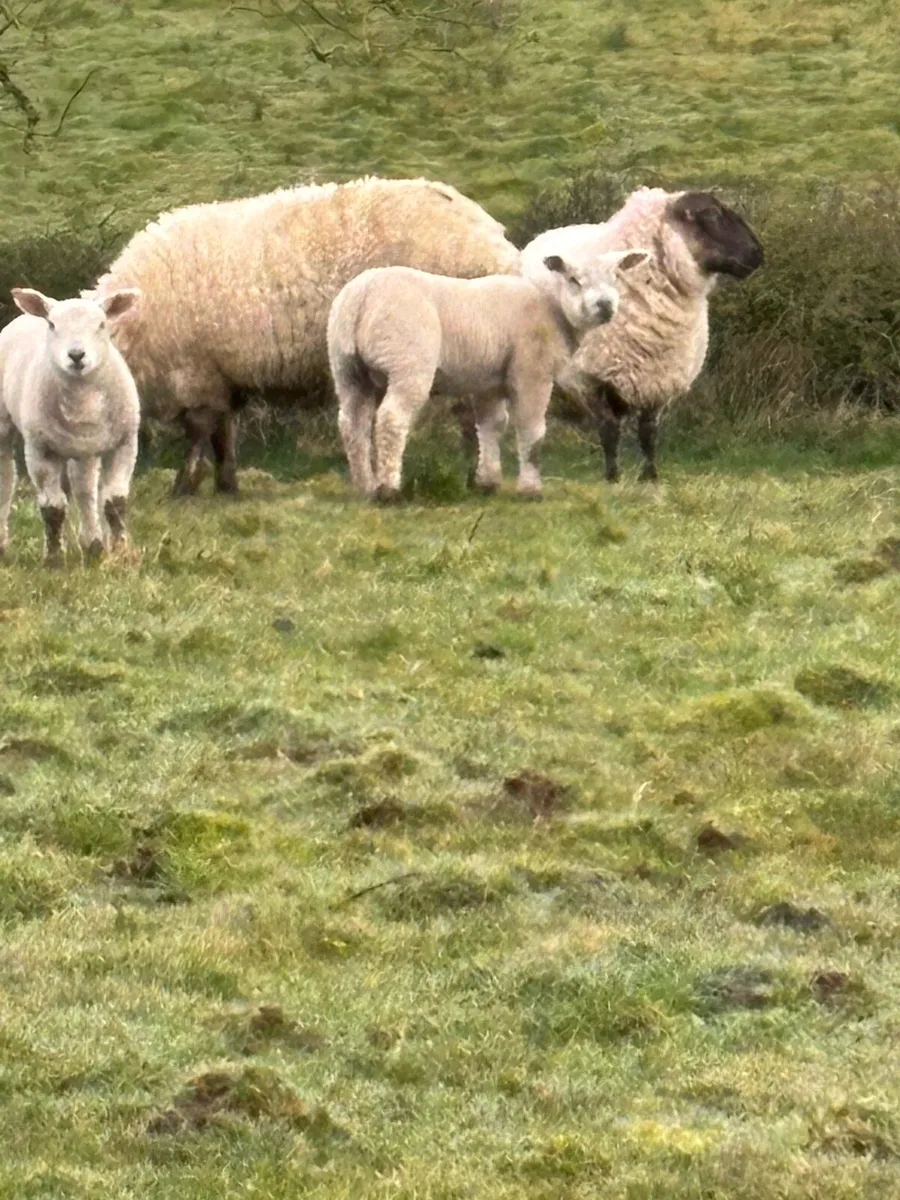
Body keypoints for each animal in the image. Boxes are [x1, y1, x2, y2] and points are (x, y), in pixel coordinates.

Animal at [0, 287, 141, 566]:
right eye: (53, 325)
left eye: (101, 324)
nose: (76, 355)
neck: (84, 401)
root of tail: (25, 317)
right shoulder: (40, 449)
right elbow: (52, 509)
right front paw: (54, 559)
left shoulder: (125, 443)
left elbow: (115, 502)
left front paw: (121, 553)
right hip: (4, 425)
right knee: (5, 481)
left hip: (83, 448)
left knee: (84, 489)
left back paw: (93, 544)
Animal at [88, 176, 521, 498]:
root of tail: (497, 241)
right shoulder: (221, 376)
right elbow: (223, 436)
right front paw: (227, 486)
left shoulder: (196, 375)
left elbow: (198, 435)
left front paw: (184, 487)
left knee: (472, 416)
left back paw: (474, 476)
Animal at [328, 250, 649, 501]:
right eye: (573, 279)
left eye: (616, 277)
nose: (605, 305)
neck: (554, 310)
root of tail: (362, 296)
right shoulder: (532, 371)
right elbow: (531, 430)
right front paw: (530, 488)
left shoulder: (488, 381)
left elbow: (491, 425)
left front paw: (488, 481)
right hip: (407, 361)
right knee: (392, 419)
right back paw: (388, 488)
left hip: (347, 369)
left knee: (352, 423)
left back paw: (365, 485)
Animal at [518, 187, 764, 481]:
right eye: (711, 214)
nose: (757, 254)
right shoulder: (588, 378)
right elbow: (609, 429)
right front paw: (612, 477)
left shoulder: (658, 380)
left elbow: (648, 433)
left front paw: (650, 476)